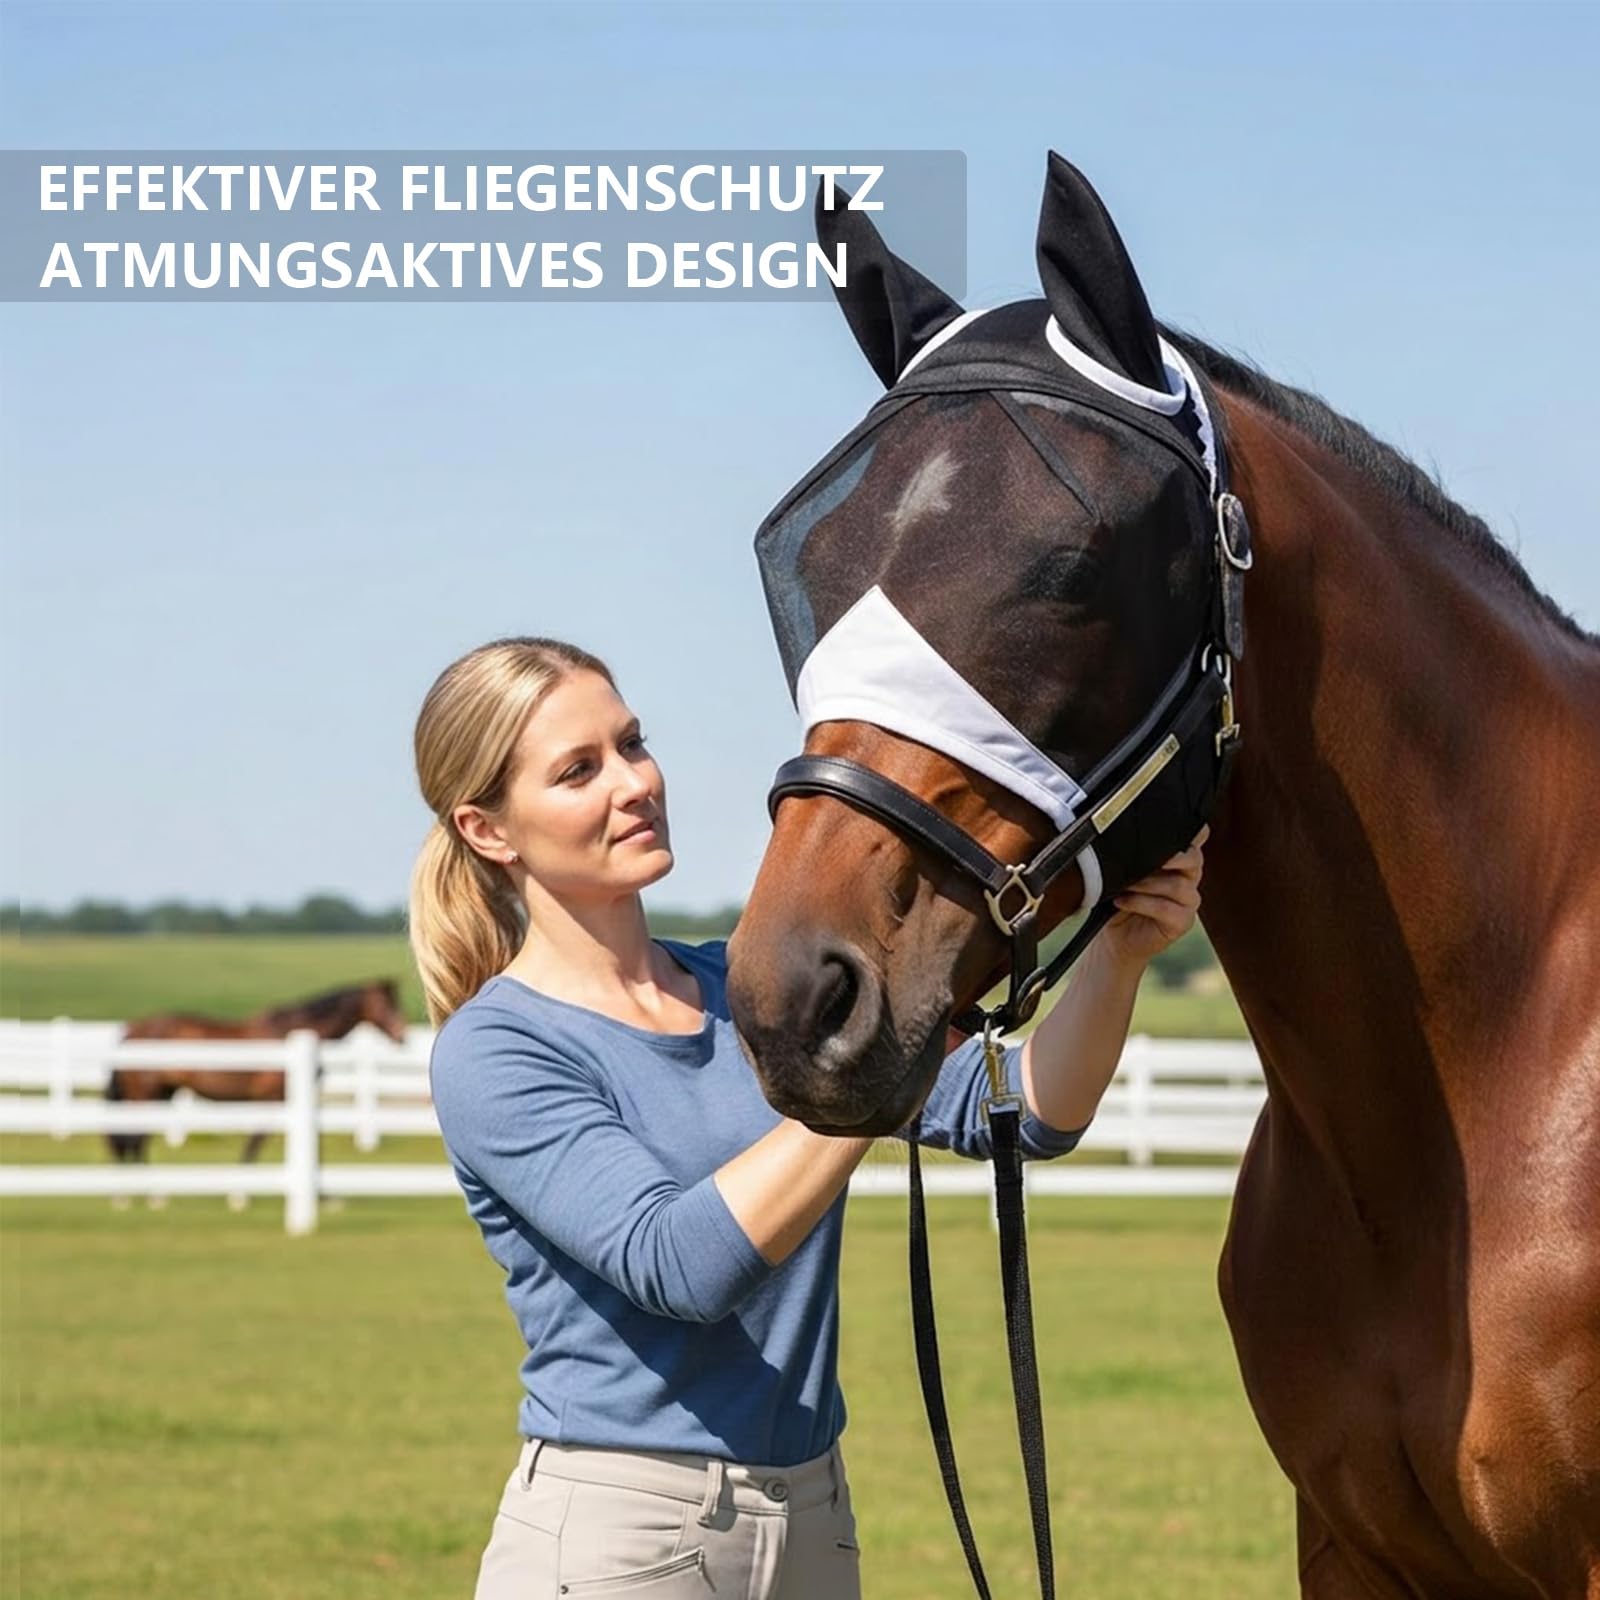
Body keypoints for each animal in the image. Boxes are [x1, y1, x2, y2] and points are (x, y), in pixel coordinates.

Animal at [106, 978, 409, 1166]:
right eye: (385, 1005)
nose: (402, 1036)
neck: (296, 1030)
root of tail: (130, 1030)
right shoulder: (273, 1098)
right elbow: (257, 1138)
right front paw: (239, 1193)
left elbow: (310, 1143)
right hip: (145, 1095)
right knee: (135, 1137)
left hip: (162, 1094)